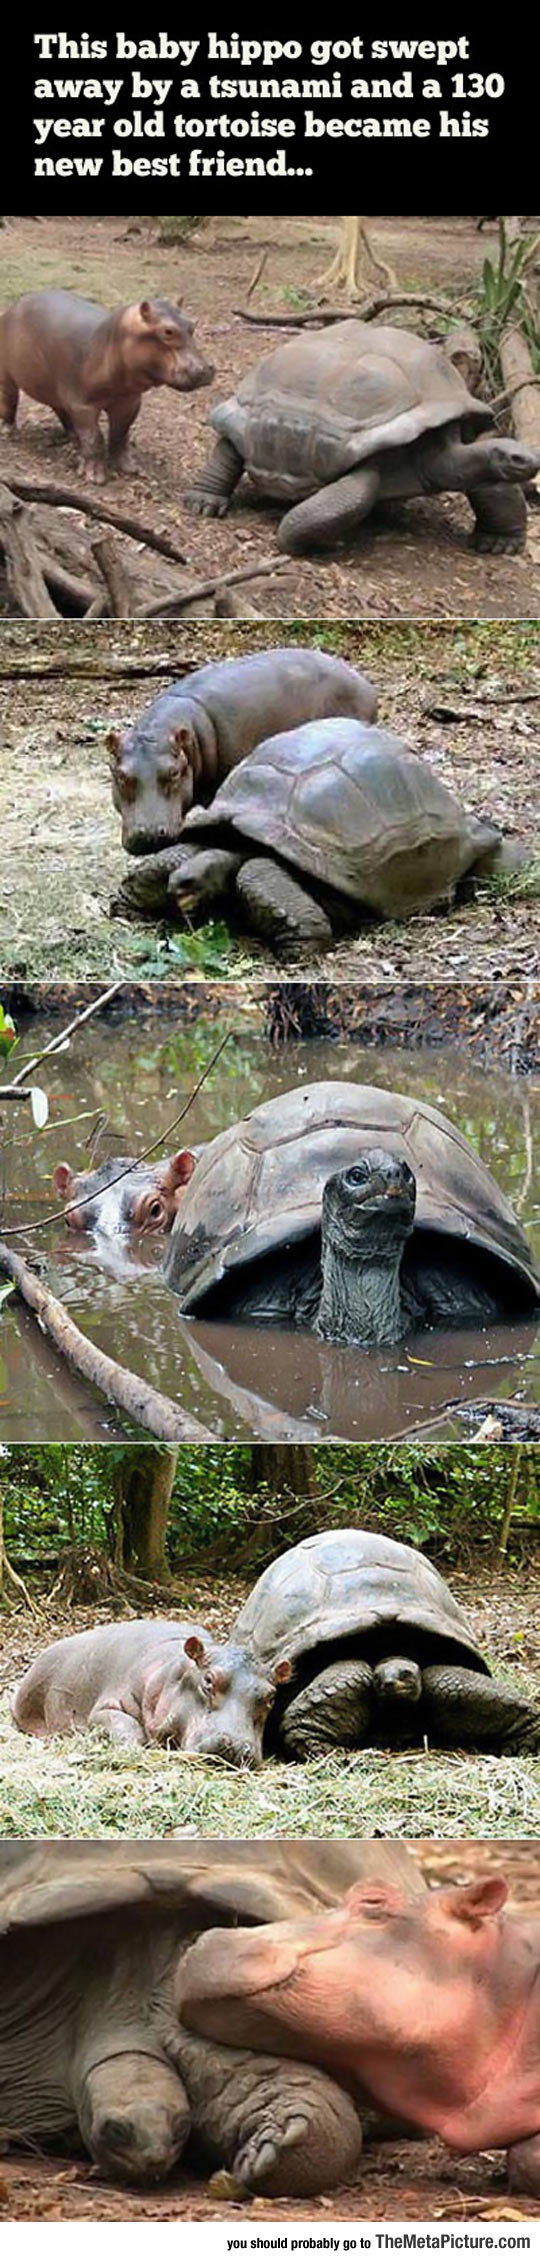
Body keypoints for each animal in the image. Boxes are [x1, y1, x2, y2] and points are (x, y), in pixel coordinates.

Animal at [0, 291, 214, 480]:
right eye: (168, 331)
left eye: (192, 325)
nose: (205, 369)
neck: (111, 341)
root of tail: (13, 307)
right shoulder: (82, 405)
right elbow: (94, 438)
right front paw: (94, 477)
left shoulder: (129, 402)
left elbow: (120, 434)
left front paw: (130, 467)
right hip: (8, 376)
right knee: (10, 400)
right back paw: (9, 432)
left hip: (53, 386)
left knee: (60, 409)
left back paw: (73, 438)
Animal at [11, 1619, 291, 1763]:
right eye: (209, 1680)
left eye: (271, 1696)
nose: (235, 1746)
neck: (173, 1670)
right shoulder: (107, 1703)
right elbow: (122, 1723)